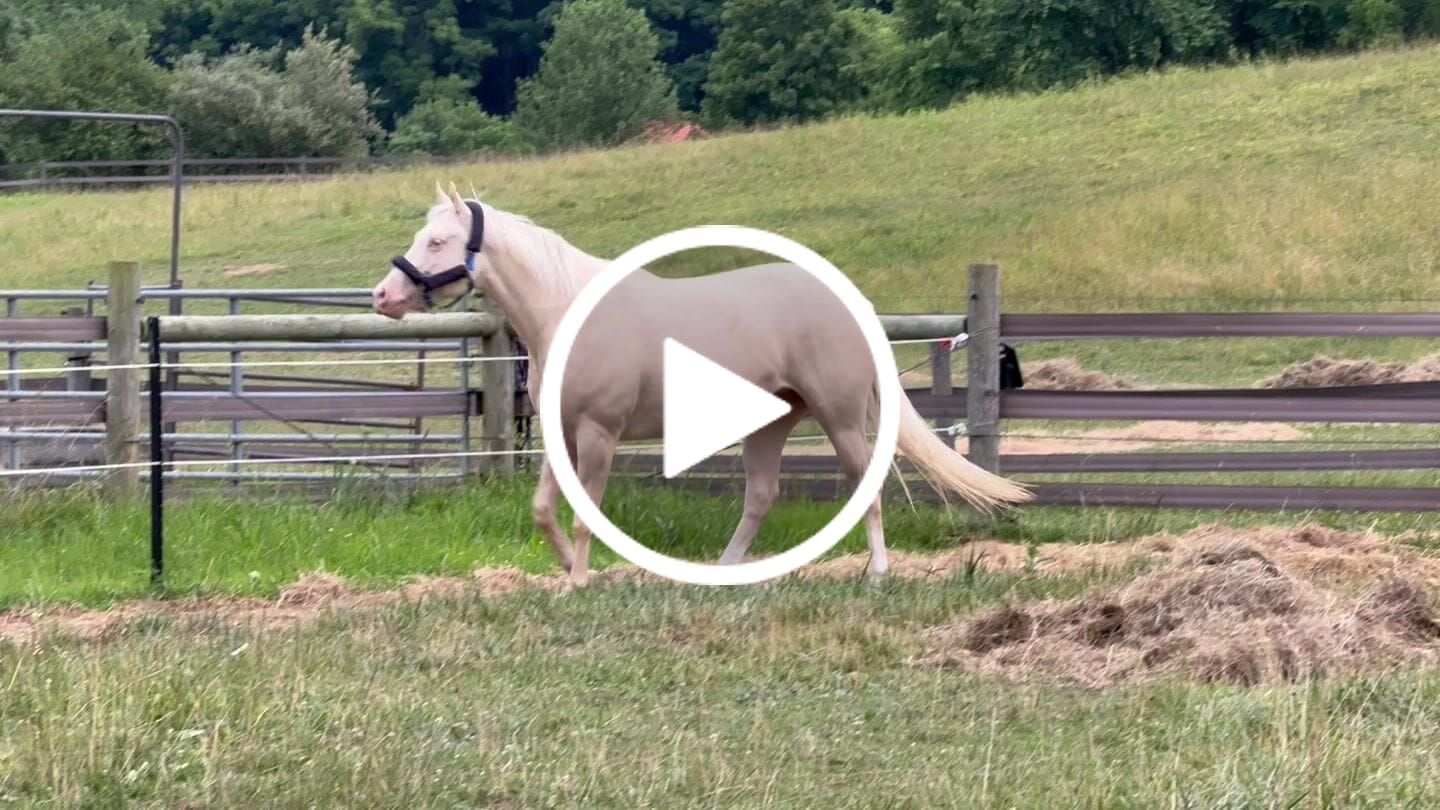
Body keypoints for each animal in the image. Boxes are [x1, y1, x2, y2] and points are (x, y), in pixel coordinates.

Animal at [373, 184, 1030, 585]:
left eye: (437, 241)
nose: (383, 296)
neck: (566, 309)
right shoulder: (561, 431)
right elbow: (542, 510)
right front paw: (568, 570)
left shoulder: (599, 433)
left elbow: (586, 513)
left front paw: (579, 579)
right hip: (772, 424)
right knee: (761, 497)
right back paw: (725, 571)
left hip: (840, 418)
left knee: (863, 489)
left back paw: (877, 573)